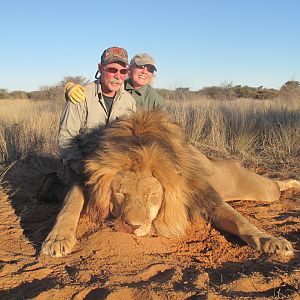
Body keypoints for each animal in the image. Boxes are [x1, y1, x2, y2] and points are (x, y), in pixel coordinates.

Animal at [40, 110, 298, 258]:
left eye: (151, 197)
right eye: (120, 194)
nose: (133, 227)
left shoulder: (202, 193)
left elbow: (240, 221)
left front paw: (270, 241)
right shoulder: (85, 178)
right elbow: (69, 207)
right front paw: (57, 240)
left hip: (251, 185)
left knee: (273, 187)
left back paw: (292, 182)